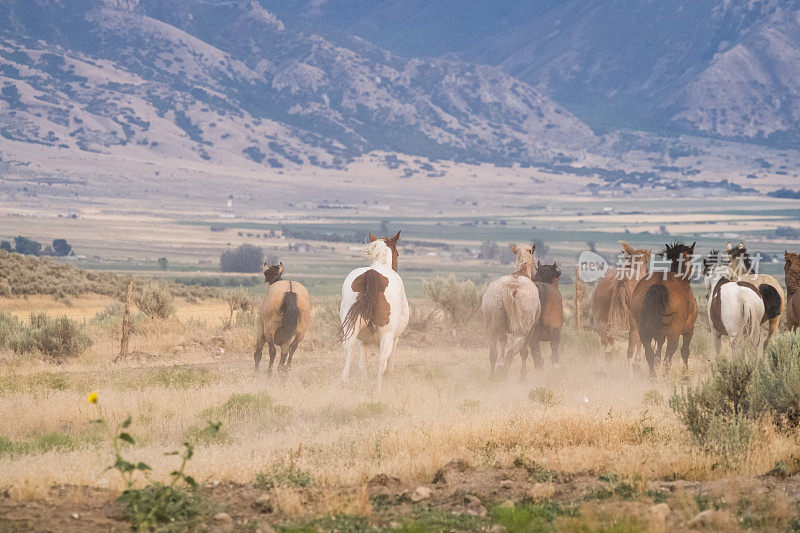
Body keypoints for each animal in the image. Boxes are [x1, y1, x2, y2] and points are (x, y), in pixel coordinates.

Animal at [340, 231, 410, 392]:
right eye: (397, 253)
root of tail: (371, 274)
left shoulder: (363, 339)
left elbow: (363, 363)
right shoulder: (395, 338)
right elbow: (389, 362)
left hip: (352, 328)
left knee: (348, 350)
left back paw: (344, 382)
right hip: (386, 334)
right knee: (381, 361)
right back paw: (377, 391)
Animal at [484, 245, 540, 378]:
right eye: (534, 263)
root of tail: (513, 285)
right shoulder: (531, 330)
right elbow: (524, 353)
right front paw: (523, 375)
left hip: (493, 328)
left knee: (494, 353)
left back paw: (494, 374)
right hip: (521, 332)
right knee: (511, 353)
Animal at [632, 241, 700, 374]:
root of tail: (658, 284)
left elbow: (659, 345)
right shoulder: (689, 330)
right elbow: (685, 351)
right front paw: (685, 376)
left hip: (643, 330)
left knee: (649, 353)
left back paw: (653, 375)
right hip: (674, 331)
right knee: (669, 355)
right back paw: (664, 375)